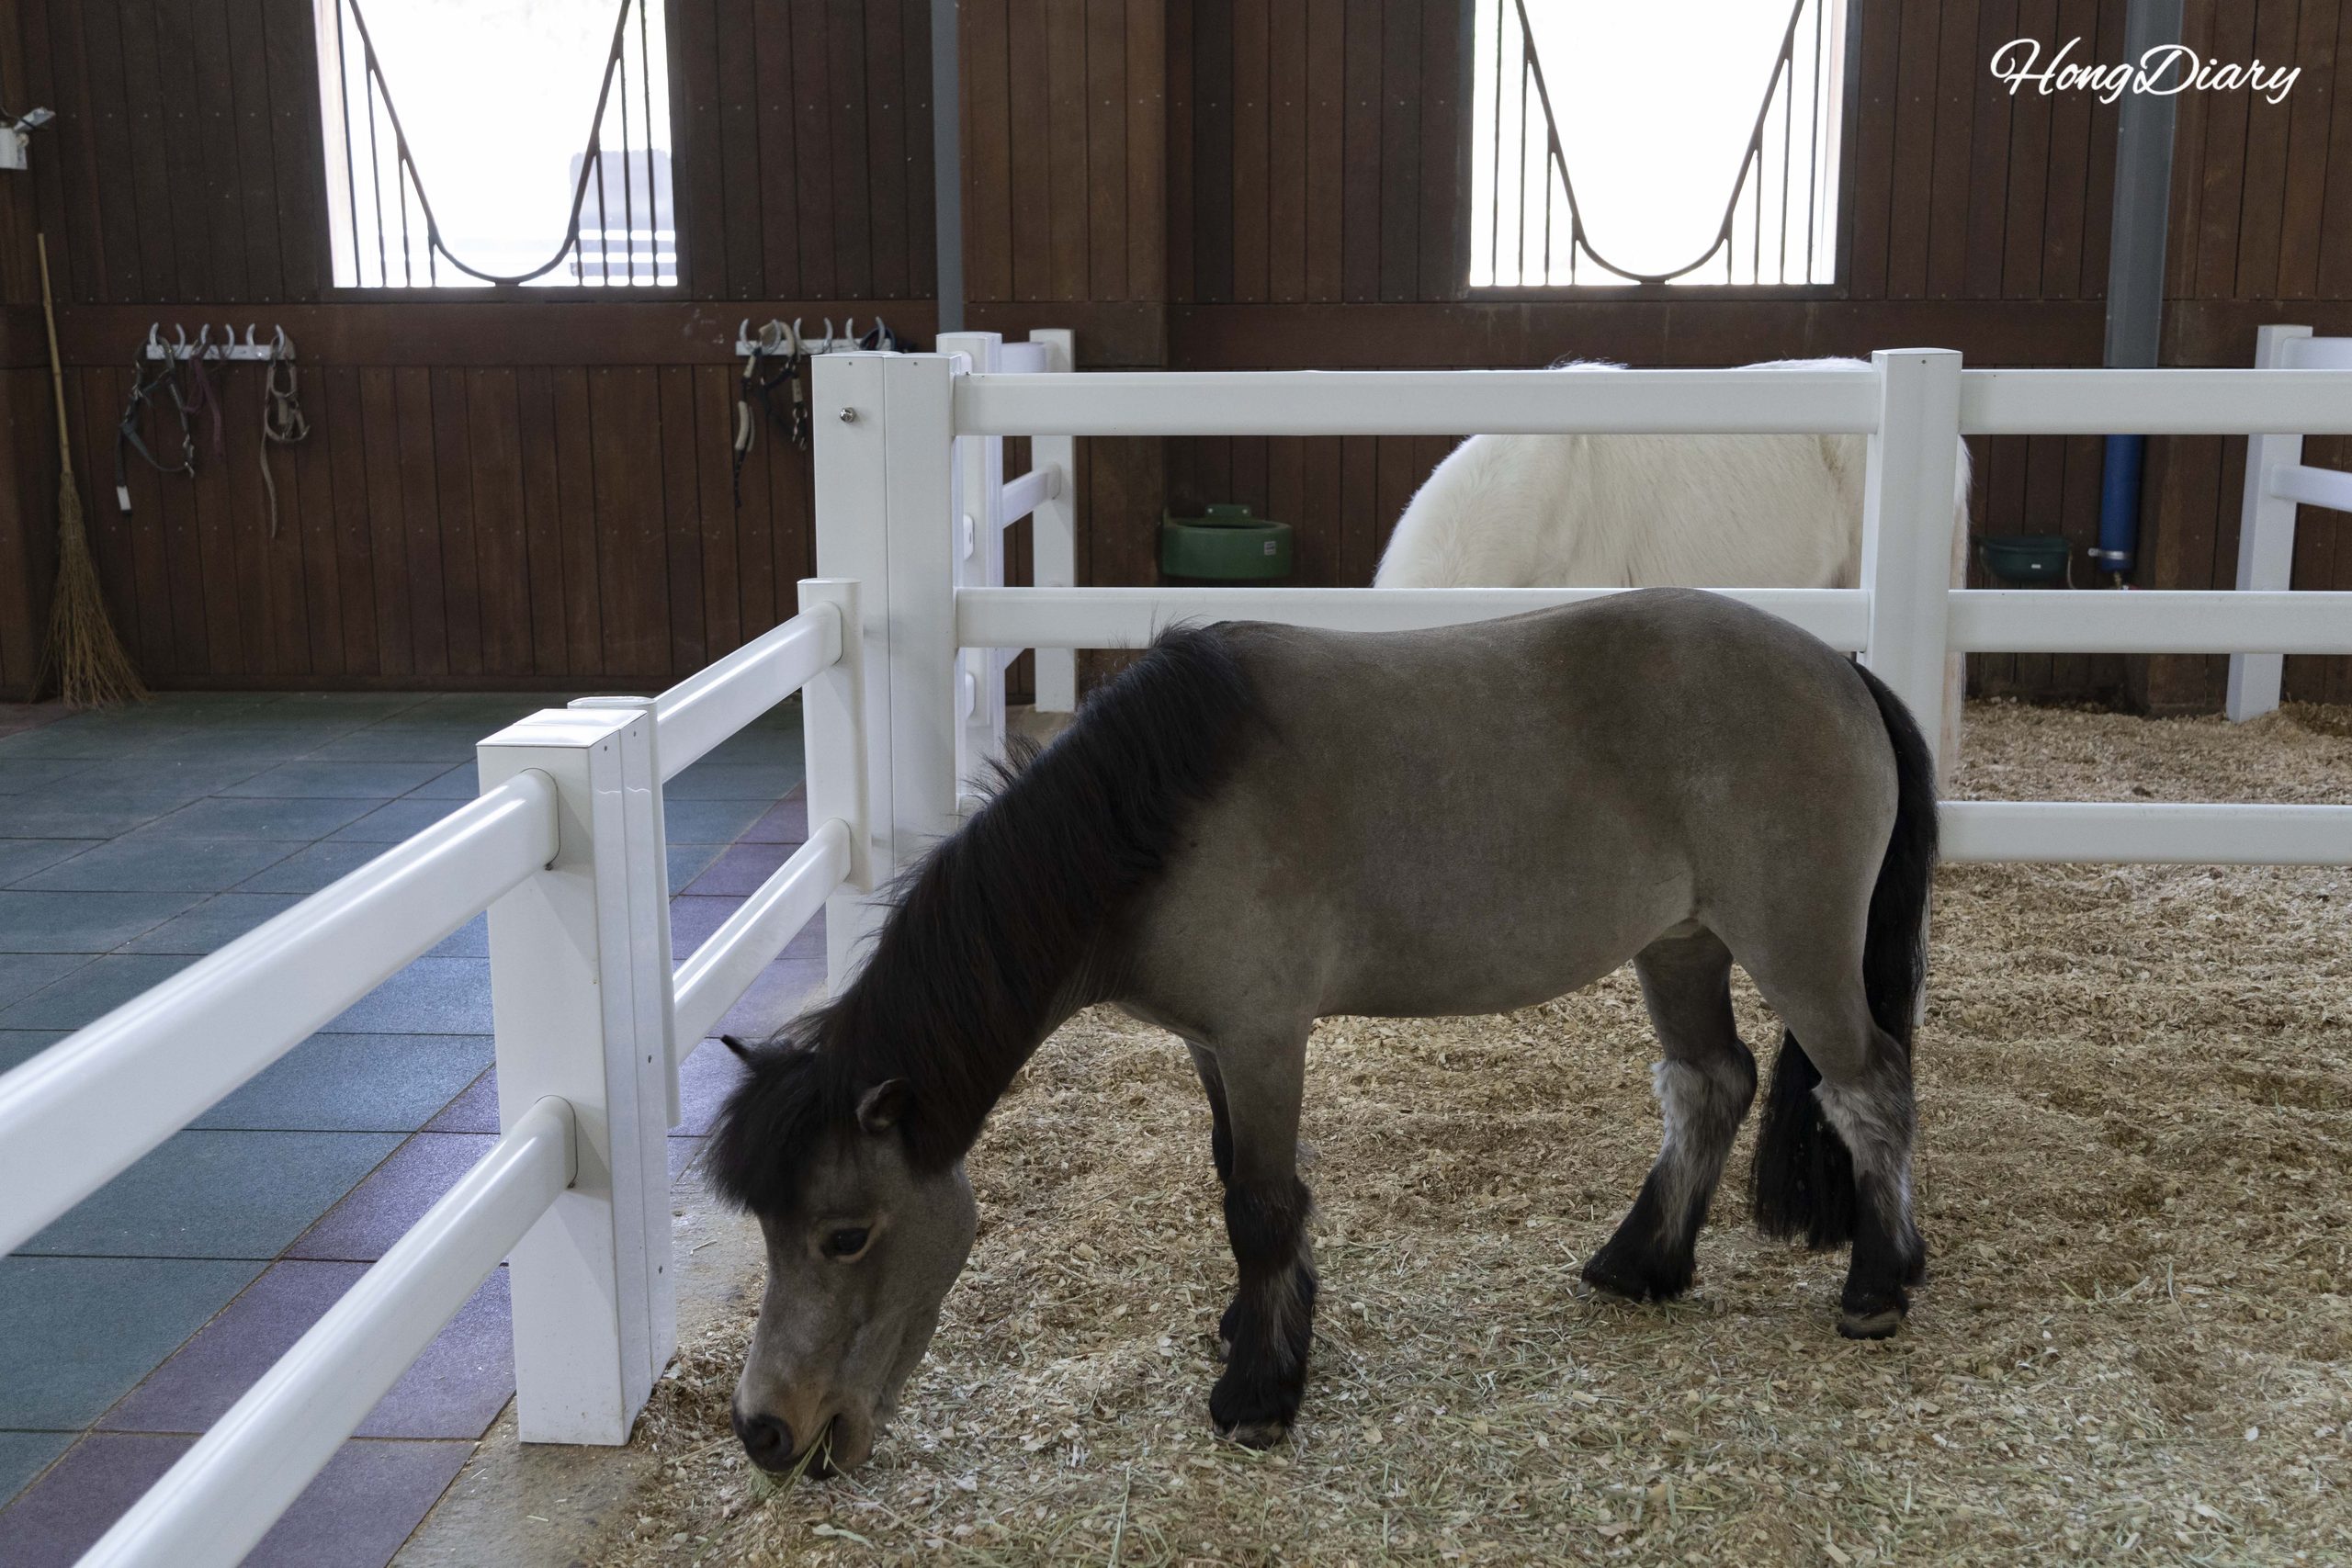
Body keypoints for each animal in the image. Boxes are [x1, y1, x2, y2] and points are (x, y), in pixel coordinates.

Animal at [709, 588, 1938, 1475]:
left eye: (845, 1235)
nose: (765, 1431)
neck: (1157, 811)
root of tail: (1840, 669)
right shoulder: (1212, 1044)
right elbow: (1239, 1182)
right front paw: (1261, 1329)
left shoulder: (1263, 1035)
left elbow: (1259, 1202)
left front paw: (1258, 1392)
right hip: (1680, 945)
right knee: (1709, 1083)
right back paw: (1643, 1264)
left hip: (1795, 950)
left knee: (1864, 1089)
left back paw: (1877, 1286)